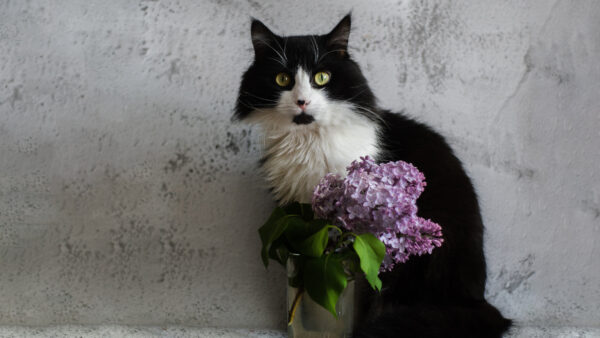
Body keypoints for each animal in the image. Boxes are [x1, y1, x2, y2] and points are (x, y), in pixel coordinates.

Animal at [234, 13, 510, 338]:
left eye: (321, 78)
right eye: (283, 79)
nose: (302, 101)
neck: (309, 141)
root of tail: (475, 300)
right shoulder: (296, 213)